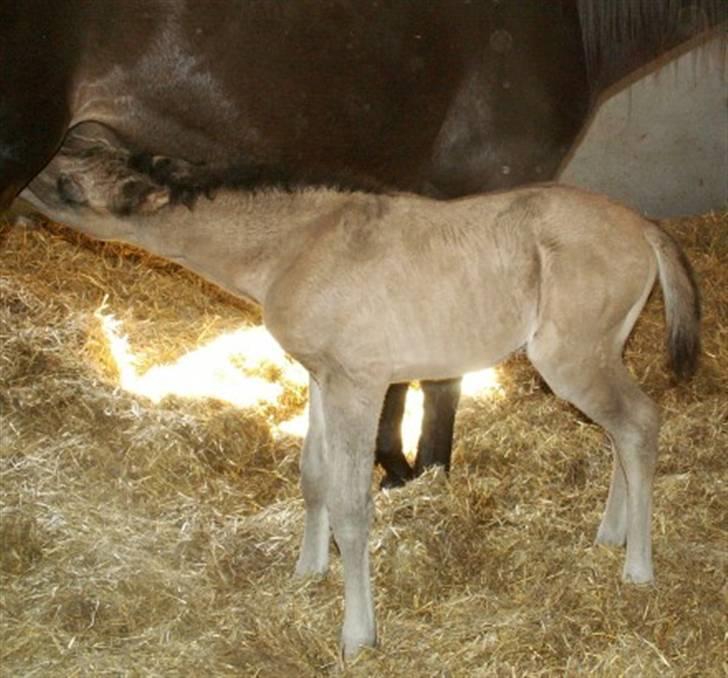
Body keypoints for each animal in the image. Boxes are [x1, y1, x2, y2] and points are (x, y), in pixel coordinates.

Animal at [24, 147, 700, 660]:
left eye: (70, 183)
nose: (23, 179)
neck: (297, 245)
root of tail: (644, 225)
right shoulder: (323, 379)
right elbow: (313, 477)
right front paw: (307, 572)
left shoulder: (360, 382)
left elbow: (353, 503)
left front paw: (357, 635)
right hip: (600, 352)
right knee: (621, 431)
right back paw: (611, 536)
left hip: (571, 356)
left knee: (639, 423)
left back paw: (637, 569)